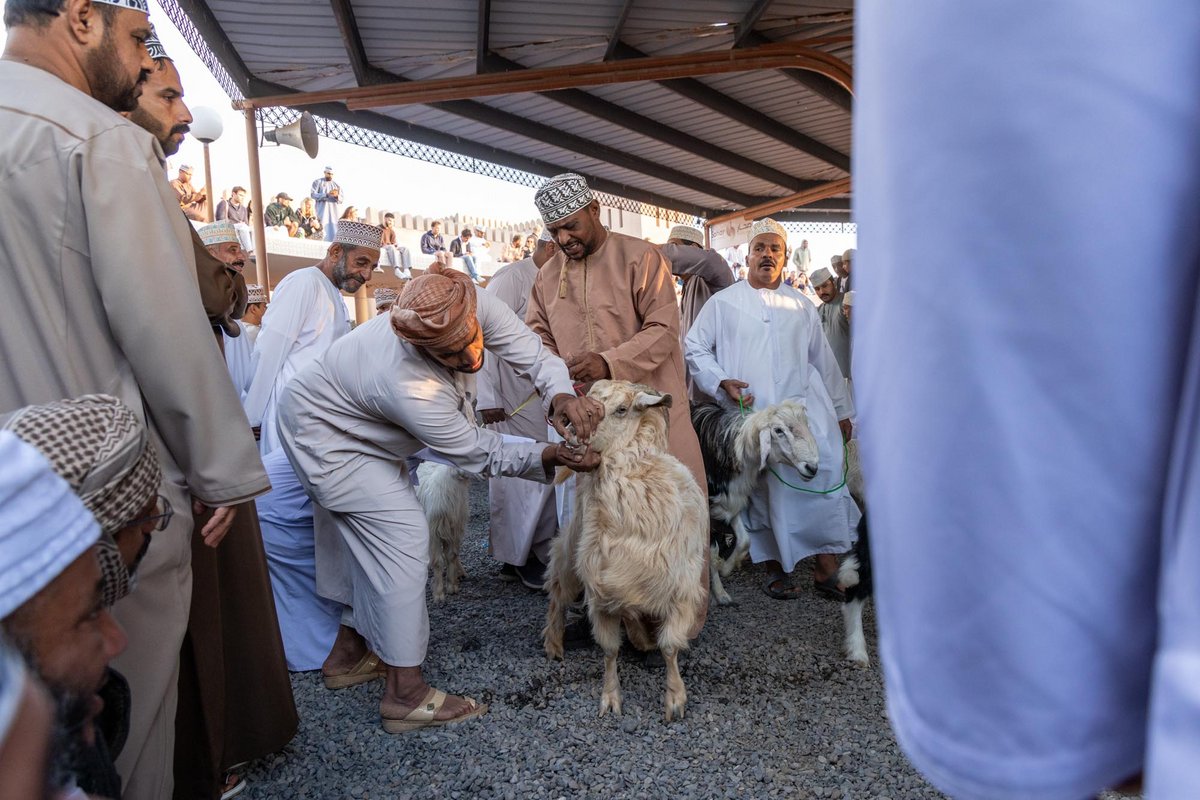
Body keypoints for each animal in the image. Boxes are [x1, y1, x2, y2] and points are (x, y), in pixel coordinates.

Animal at [416, 461, 472, 603]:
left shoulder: (454, 531)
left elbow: (452, 555)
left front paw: (452, 586)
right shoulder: (434, 532)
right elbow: (438, 561)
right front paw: (439, 593)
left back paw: (460, 571)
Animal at [542, 380, 707, 722]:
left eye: (621, 409)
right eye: (589, 401)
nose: (573, 432)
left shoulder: (680, 591)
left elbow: (670, 648)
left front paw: (675, 699)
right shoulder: (600, 593)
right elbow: (609, 651)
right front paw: (610, 699)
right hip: (574, 547)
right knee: (558, 587)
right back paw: (554, 641)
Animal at [690, 400, 820, 604]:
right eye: (778, 430)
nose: (812, 468)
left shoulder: (731, 501)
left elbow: (745, 540)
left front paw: (725, 570)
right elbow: (710, 552)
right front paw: (719, 592)